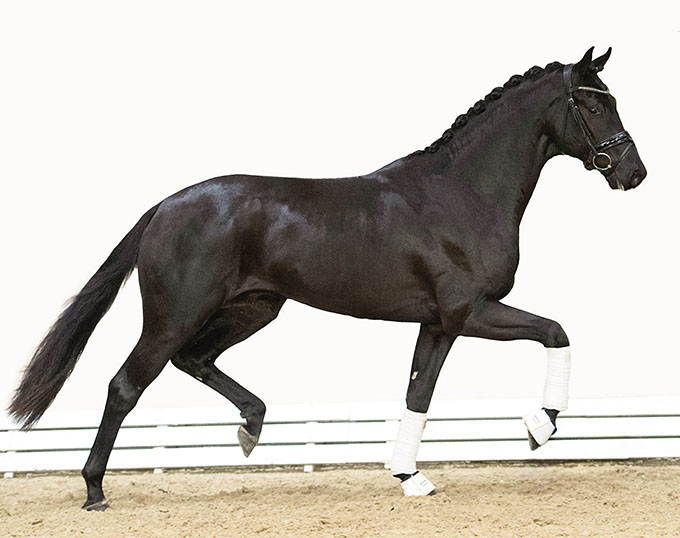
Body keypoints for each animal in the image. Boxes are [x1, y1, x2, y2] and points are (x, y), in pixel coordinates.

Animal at [9, 47, 646, 509]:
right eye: (594, 106)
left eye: (610, 101)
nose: (634, 172)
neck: (460, 192)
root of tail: (165, 207)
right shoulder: (470, 311)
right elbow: (556, 331)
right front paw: (539, 428)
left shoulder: (438, 324)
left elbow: (418, 393)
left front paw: (410, 477)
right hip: (174, 316)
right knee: (126, 384)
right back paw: (94, 489)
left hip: (254, 307)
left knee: (195, 360)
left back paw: (251, 427)